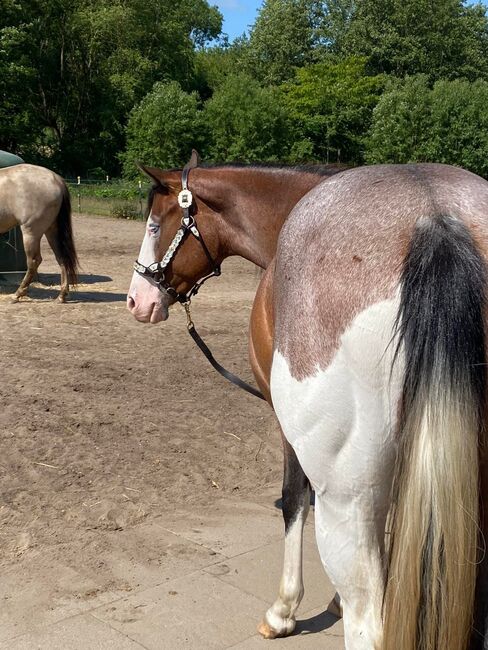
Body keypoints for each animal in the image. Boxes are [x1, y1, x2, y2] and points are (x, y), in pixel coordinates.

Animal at [0, 165, 77, 302]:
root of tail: (56, 179)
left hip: (30, 233)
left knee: (34, 261)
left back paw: (18, 293)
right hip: (52, 231)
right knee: (61, 257)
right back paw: (61, 295)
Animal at [127, 157, 488, 648]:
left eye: (153, 223)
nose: (136, 299)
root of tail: (435, 216)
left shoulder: (288, 430)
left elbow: (294, 500)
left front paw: (284, 611)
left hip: (345, 496)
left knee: (368, 621)